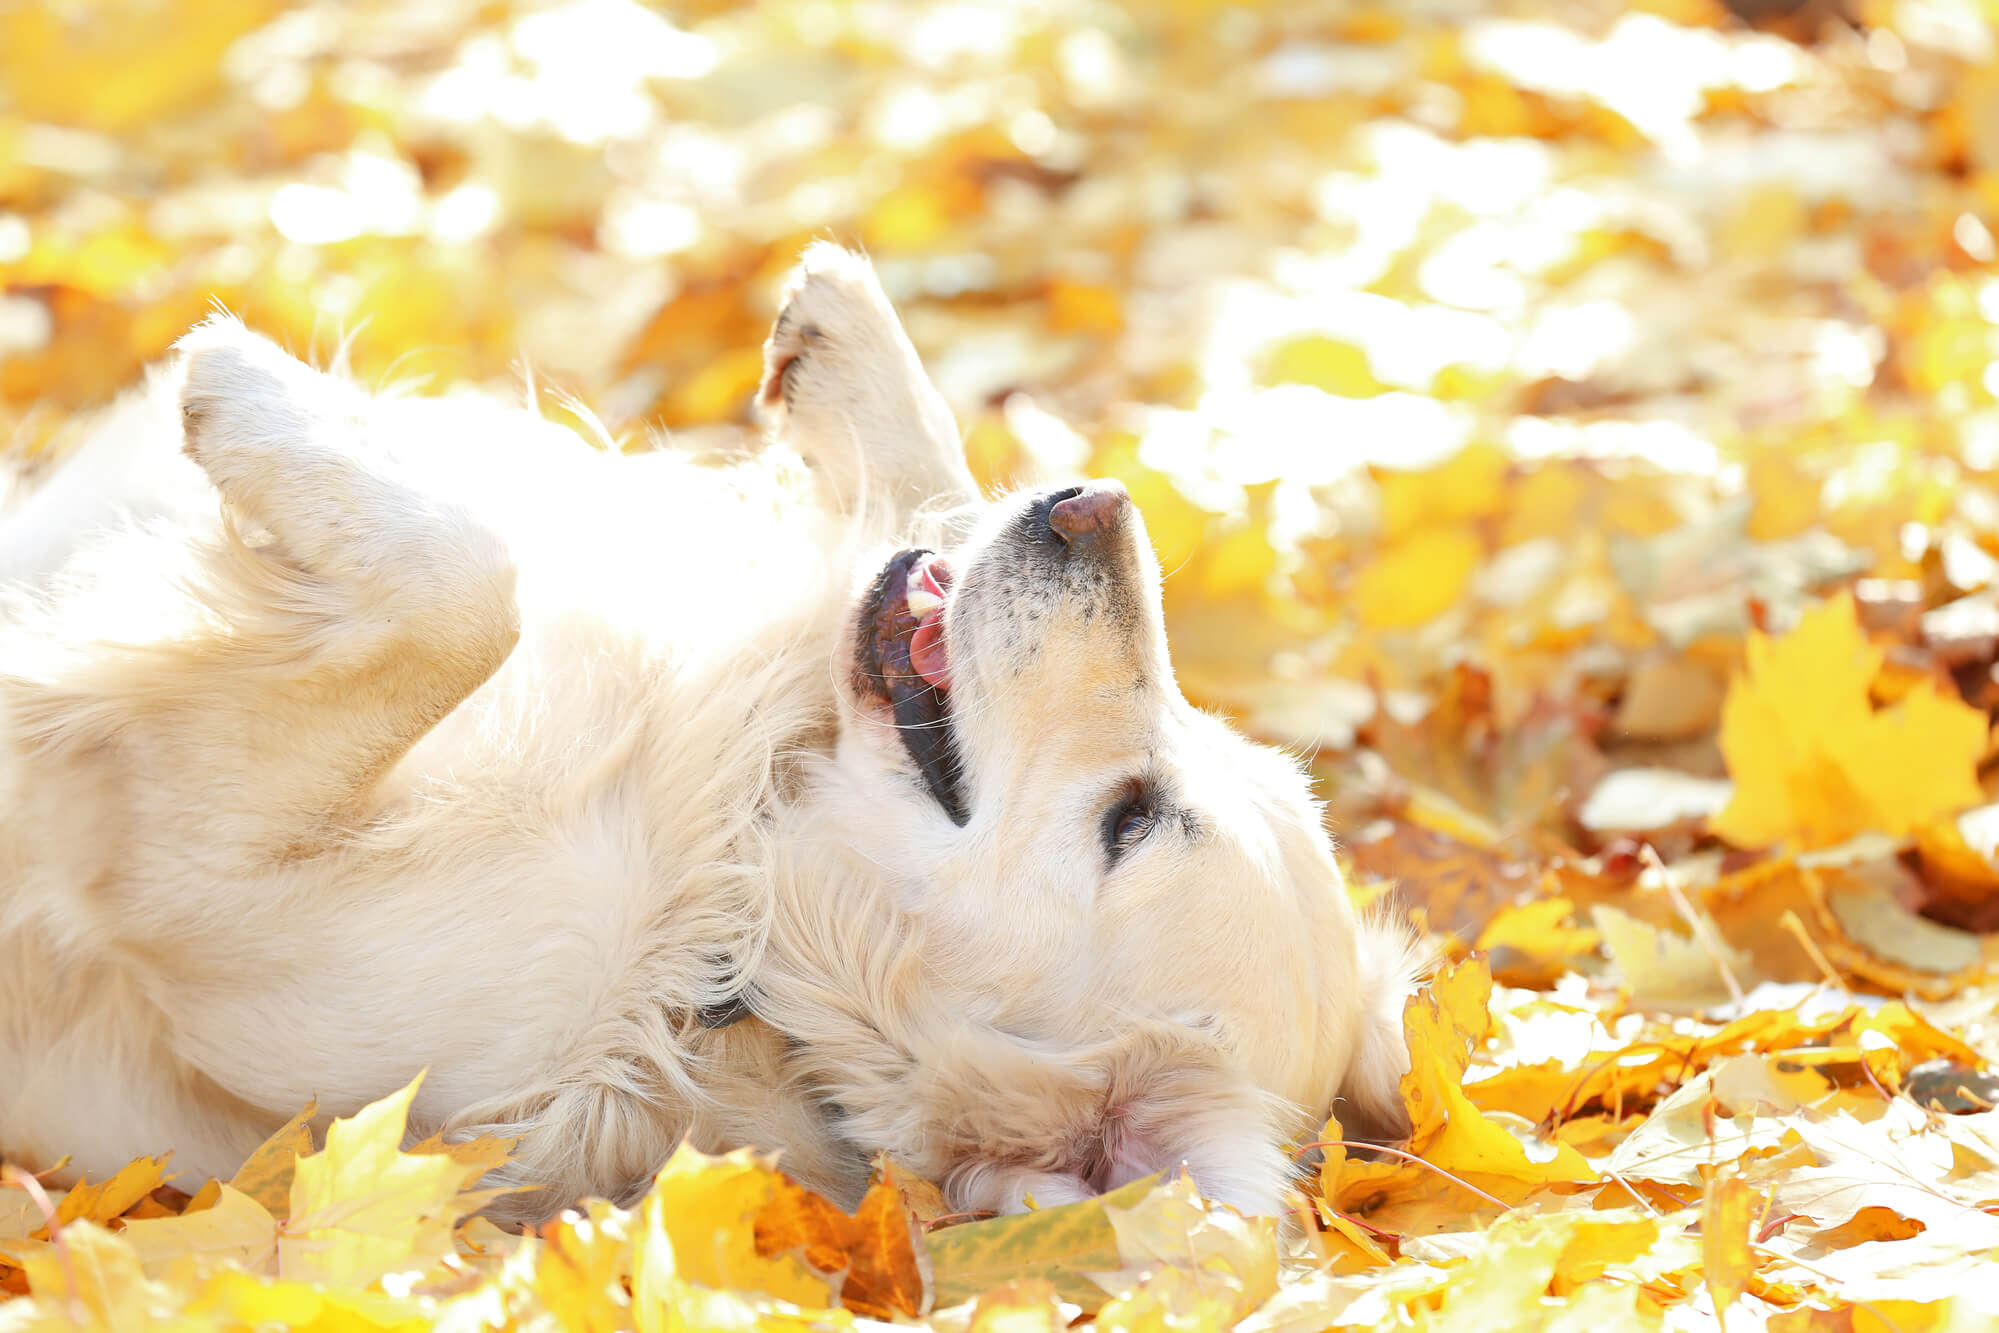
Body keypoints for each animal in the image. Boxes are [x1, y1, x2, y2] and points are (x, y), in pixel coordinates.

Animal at [0, 244, 1423, 1223]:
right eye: (1201, 741)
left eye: (1129, 820)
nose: (1094, 505)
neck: (735, 909)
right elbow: (926, 503)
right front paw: (848, 338)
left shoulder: (210, 896)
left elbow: (471, 584)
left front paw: (244, 389)